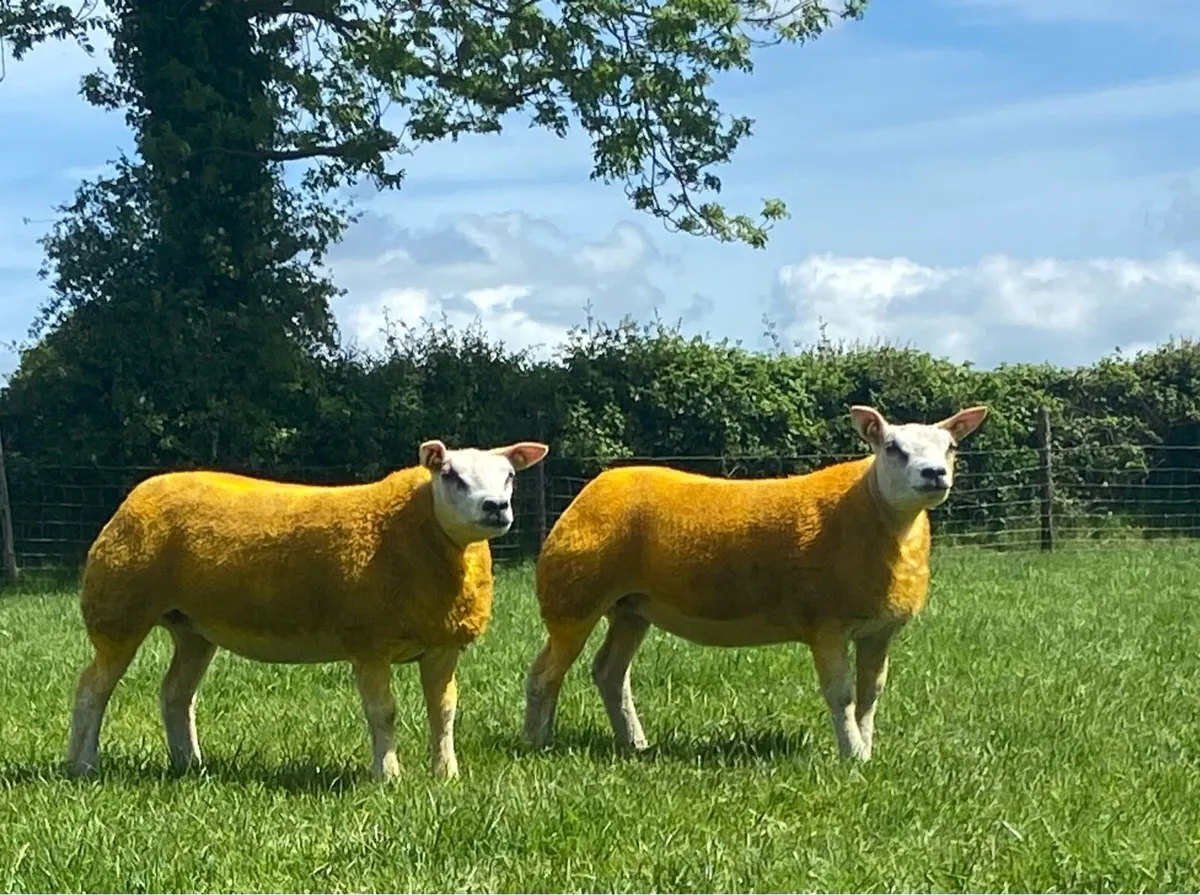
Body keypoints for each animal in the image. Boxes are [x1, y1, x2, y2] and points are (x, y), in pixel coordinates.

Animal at [64, 438, 549, 782]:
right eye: (450, 474)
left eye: (509, 475)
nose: (496, 507)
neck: (416, 528)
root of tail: (138, 493)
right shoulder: (369, 641)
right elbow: (384, 713)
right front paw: (388, 777)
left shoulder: (442, 643)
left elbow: (444, 712)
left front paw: (446, 775)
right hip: (120, 610)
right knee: (92, 689)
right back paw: (82, 766)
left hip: (192, 627)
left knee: (175, 694)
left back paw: (189, 765)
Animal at [523, 405, 988, 762]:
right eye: (892, 447)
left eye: (951, 447)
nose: (934, 474)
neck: (874, 509)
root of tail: (592, 489)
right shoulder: (827, 623)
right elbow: (841, 695)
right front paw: (852, 757)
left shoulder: (879, 630)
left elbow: (870, 695)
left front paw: (866, 750)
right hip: (574, 598)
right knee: (544, 674)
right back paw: (537, 742)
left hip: (632, 607)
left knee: (609, 673)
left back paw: (634, 744)